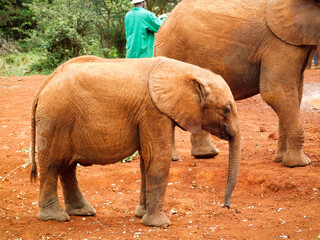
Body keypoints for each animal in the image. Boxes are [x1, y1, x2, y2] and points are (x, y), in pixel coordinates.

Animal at [30, 55, 240, 228]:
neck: (184, 71)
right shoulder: (153, 110)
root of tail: (42, 86)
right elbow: (157, 157)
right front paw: (160, 225)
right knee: (52, 164)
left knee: (67, 166)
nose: (226, 206)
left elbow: (146, 160)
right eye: (227, 109)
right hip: (55, 118)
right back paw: (56, 217)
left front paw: (141, 215)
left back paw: (83, 212)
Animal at [154, 0, 318, 167]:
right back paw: (173, 159)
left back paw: (206, 154)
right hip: (172, 50)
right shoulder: (278, 44)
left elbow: (295, 93)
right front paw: (300, 163)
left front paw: (281, 160)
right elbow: (275, 92)